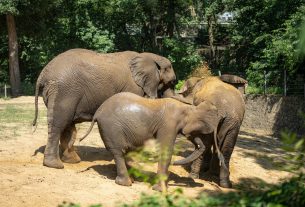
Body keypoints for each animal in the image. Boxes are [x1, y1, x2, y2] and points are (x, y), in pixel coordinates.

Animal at [31, 49, 176, 170]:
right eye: (171, 82)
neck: (149, 57)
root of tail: (43, 74)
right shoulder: (133, 87)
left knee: (67, 125)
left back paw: (73, 161)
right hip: (63, 91)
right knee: (58, 124)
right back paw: (55, 165)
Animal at [78, 92, 226, 192]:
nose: (176, 163)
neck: (187, 107)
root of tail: (97, 113)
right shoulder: (168, 124)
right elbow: (165, 150)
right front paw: (160, 190)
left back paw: (132, 180)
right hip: (111, 128)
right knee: (118, 152)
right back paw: (126, 183)